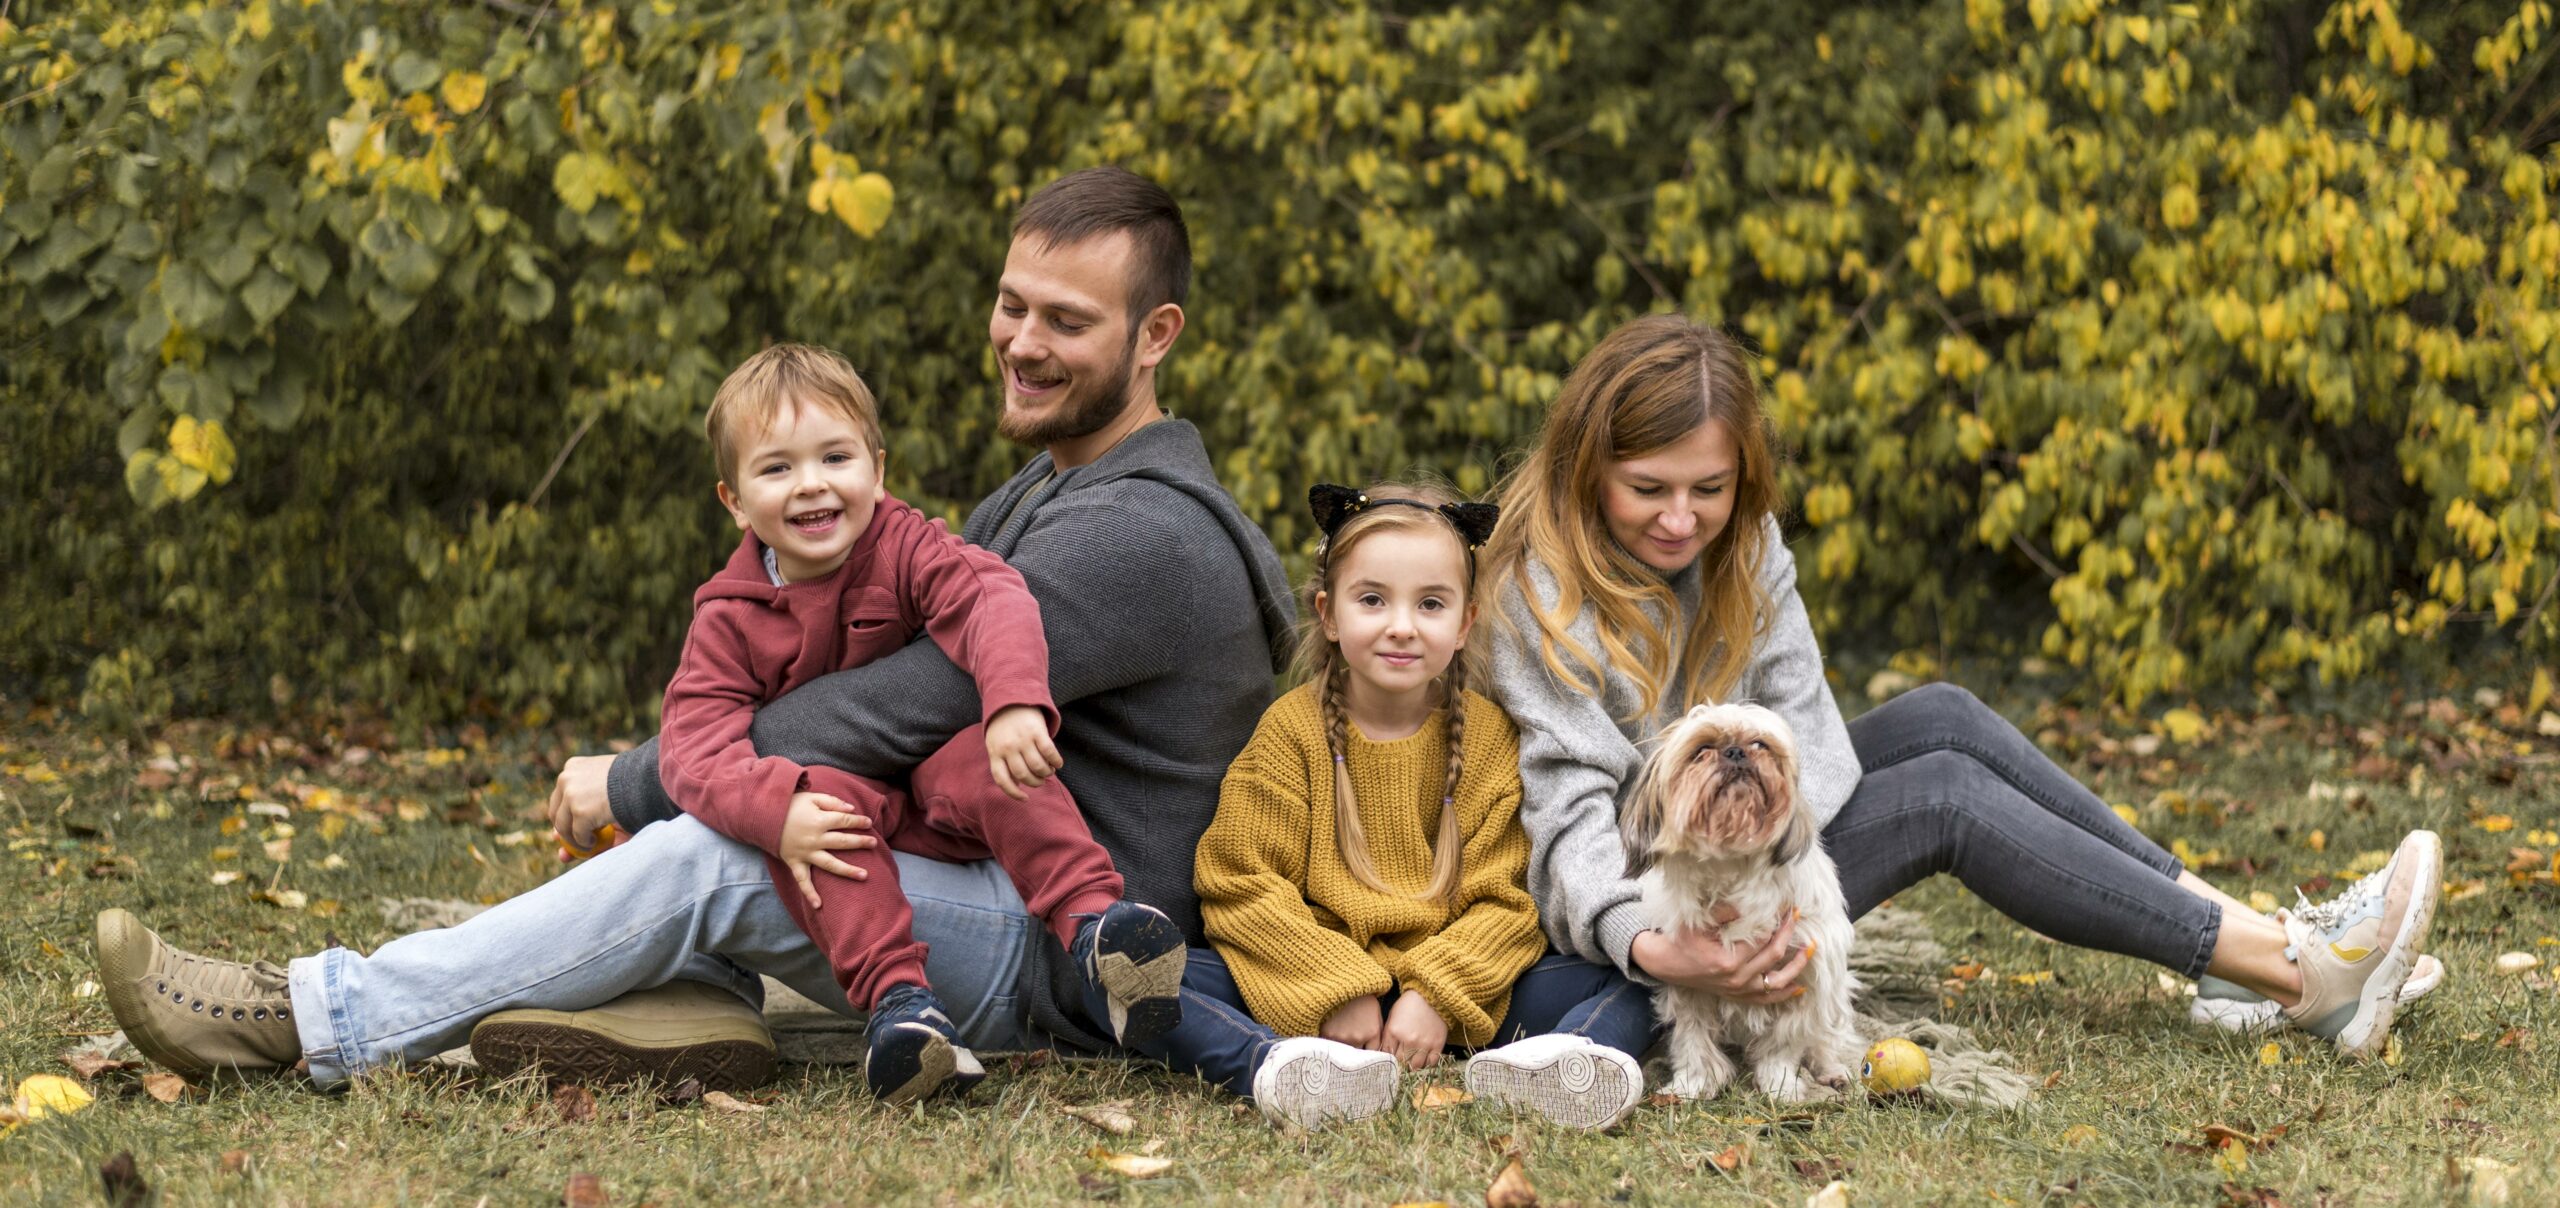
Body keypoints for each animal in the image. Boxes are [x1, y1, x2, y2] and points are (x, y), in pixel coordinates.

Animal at [1617, 696, 1863, 1105]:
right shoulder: (1689, 978)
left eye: (1760, 744)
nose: (1735, 752)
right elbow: (1693, 1040)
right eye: (1701, 749)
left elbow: (1783, 1044)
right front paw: (1692, 1084)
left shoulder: (1802, 977)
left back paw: (1831, 1070)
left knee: (1827, 1036)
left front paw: (1781, 1085)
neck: (1731, 863)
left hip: (1830, 993)